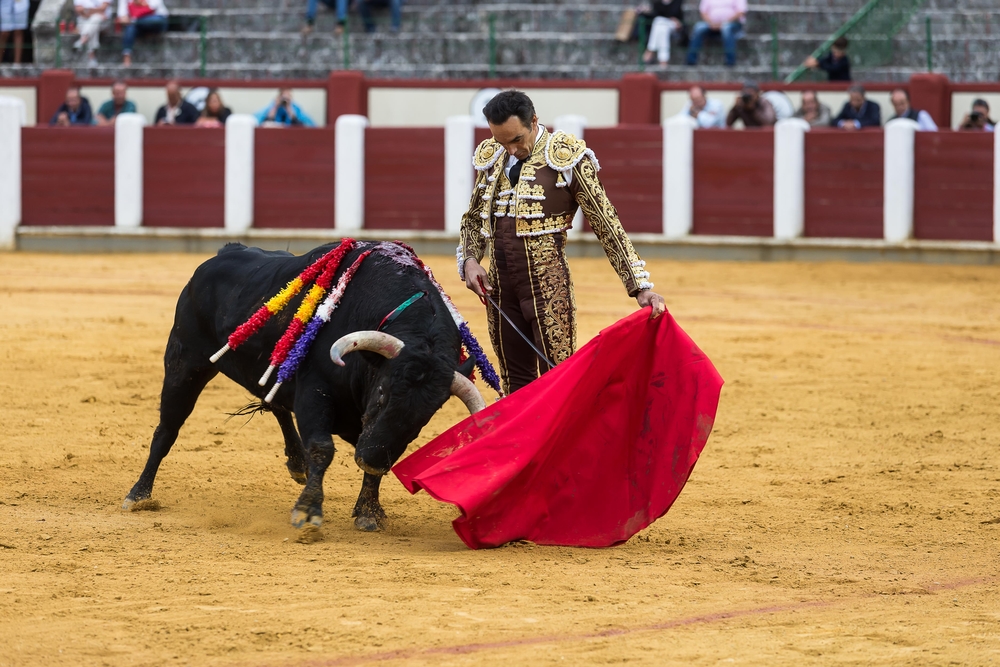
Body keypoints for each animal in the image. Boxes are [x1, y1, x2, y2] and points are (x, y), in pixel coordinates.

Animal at [121, 244, 480, 532]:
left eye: (428, 414)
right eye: (382, 392)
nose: (371, 460)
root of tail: (223, 253)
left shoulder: (373, 432)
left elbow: (375, 453)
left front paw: (369, 512)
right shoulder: (315, 393)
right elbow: (323, 447)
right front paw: (308, 512)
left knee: (277, 405)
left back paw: (298, 464)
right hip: (184, 364)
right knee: (168, 428)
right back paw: (138, 495)